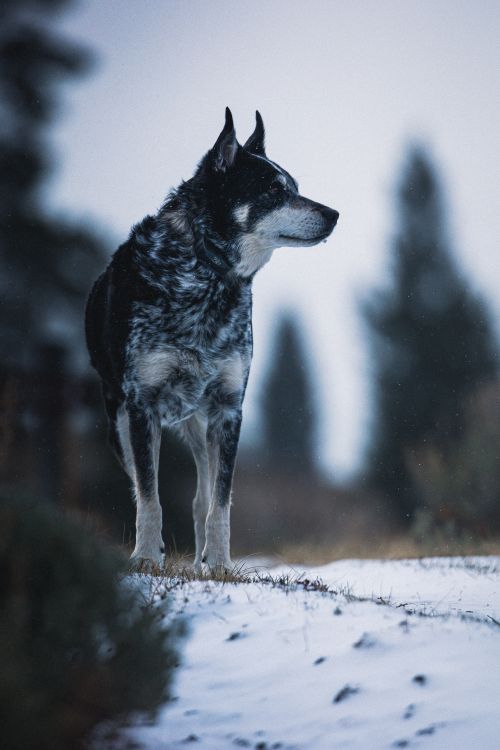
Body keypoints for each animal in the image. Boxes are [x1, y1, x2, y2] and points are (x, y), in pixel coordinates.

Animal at [85, 108, 338, 571]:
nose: (334, 213)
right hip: (120, 421)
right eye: (273, 190)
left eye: (295, 187)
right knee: (143, 487)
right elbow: (149, 497)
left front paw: (220, 564)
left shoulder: (227, 409)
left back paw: (202, 558)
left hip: (200, 426)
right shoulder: (141, 406)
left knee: (201, 497)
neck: (207, 277)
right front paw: (146, 557)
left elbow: (220, 502)